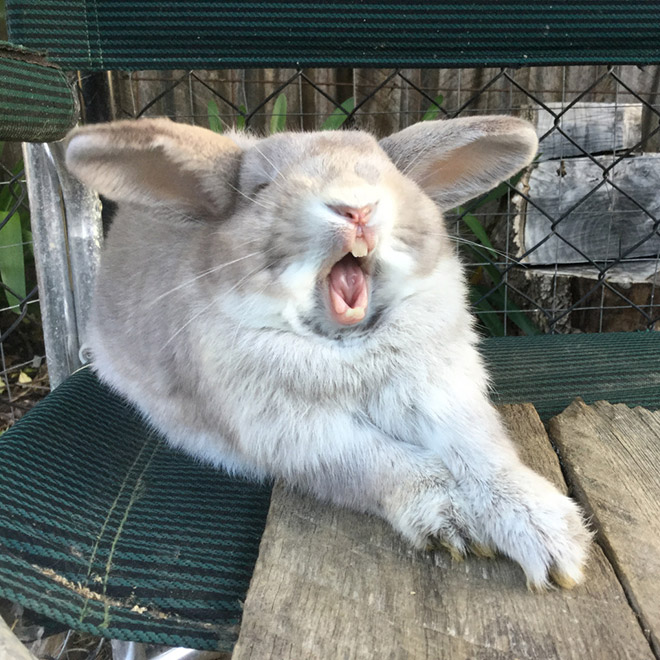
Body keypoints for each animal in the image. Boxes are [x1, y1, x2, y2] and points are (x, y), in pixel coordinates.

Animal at [65, 116, 592, 592]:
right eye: (260, 187)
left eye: (389, 175)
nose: (356, 208)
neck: (348, 347)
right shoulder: (305, 437)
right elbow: (386, 464)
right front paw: (455, 522)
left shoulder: (445, 397)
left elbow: (483, 454)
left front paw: (556, 540)